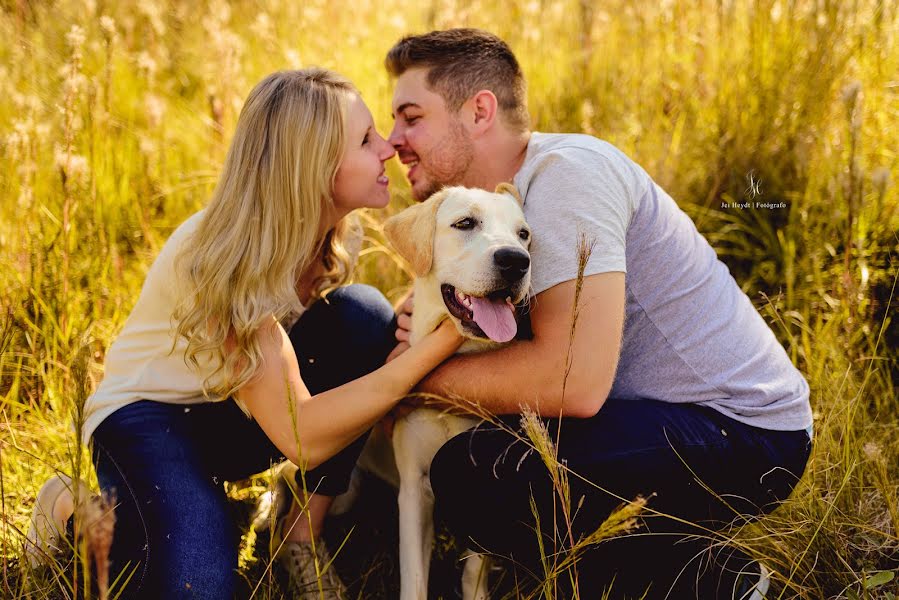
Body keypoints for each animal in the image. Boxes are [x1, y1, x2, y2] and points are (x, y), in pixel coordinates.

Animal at [382, 183, 536, 600]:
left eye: (523, 234)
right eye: (465, 223)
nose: (516, 261)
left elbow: (473, 571)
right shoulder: (413, 489)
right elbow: (414, 578)